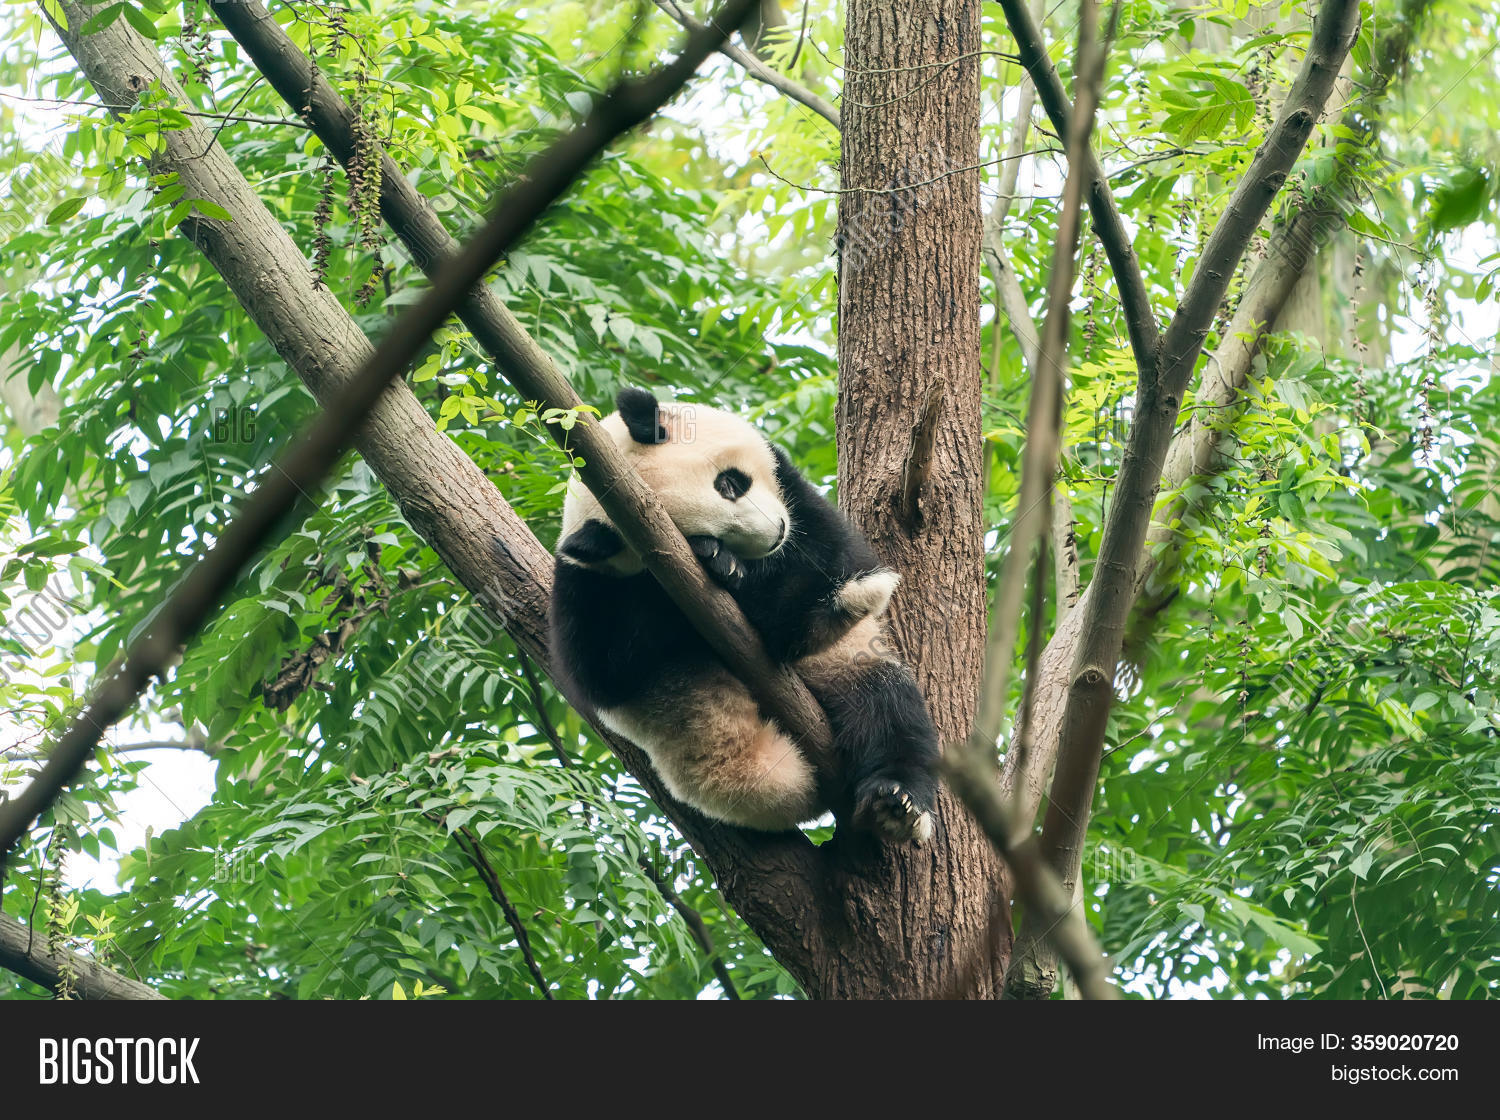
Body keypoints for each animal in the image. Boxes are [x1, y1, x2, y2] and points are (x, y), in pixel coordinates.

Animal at [549, 387, 939, 842]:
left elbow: (825, 550)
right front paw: (718, 562)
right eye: (694, 533)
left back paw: (895, 799)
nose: (775, 534)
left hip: (844, 665)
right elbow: (611, 667)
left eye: (729, 484)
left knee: (888, 710)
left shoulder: (790, 488)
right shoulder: (586, 592)